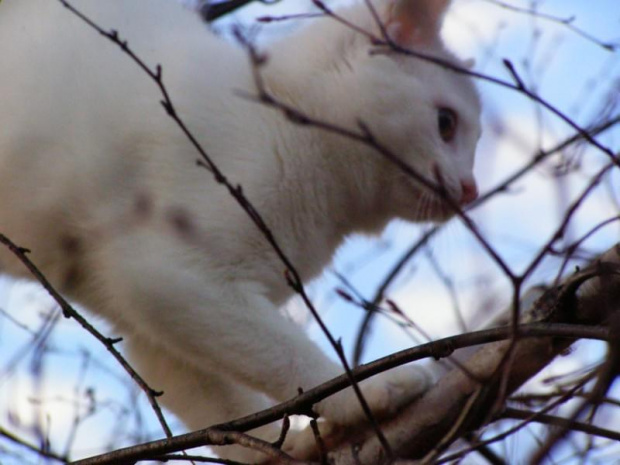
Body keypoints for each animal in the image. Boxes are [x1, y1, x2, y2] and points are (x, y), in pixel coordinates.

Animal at [0, 0, 482, 458]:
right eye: (447, 123)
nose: (471, 189)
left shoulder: (146, 324)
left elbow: (220, 407)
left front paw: (282, 447)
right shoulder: (172, 276)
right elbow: (289, 356)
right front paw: (369, 392)